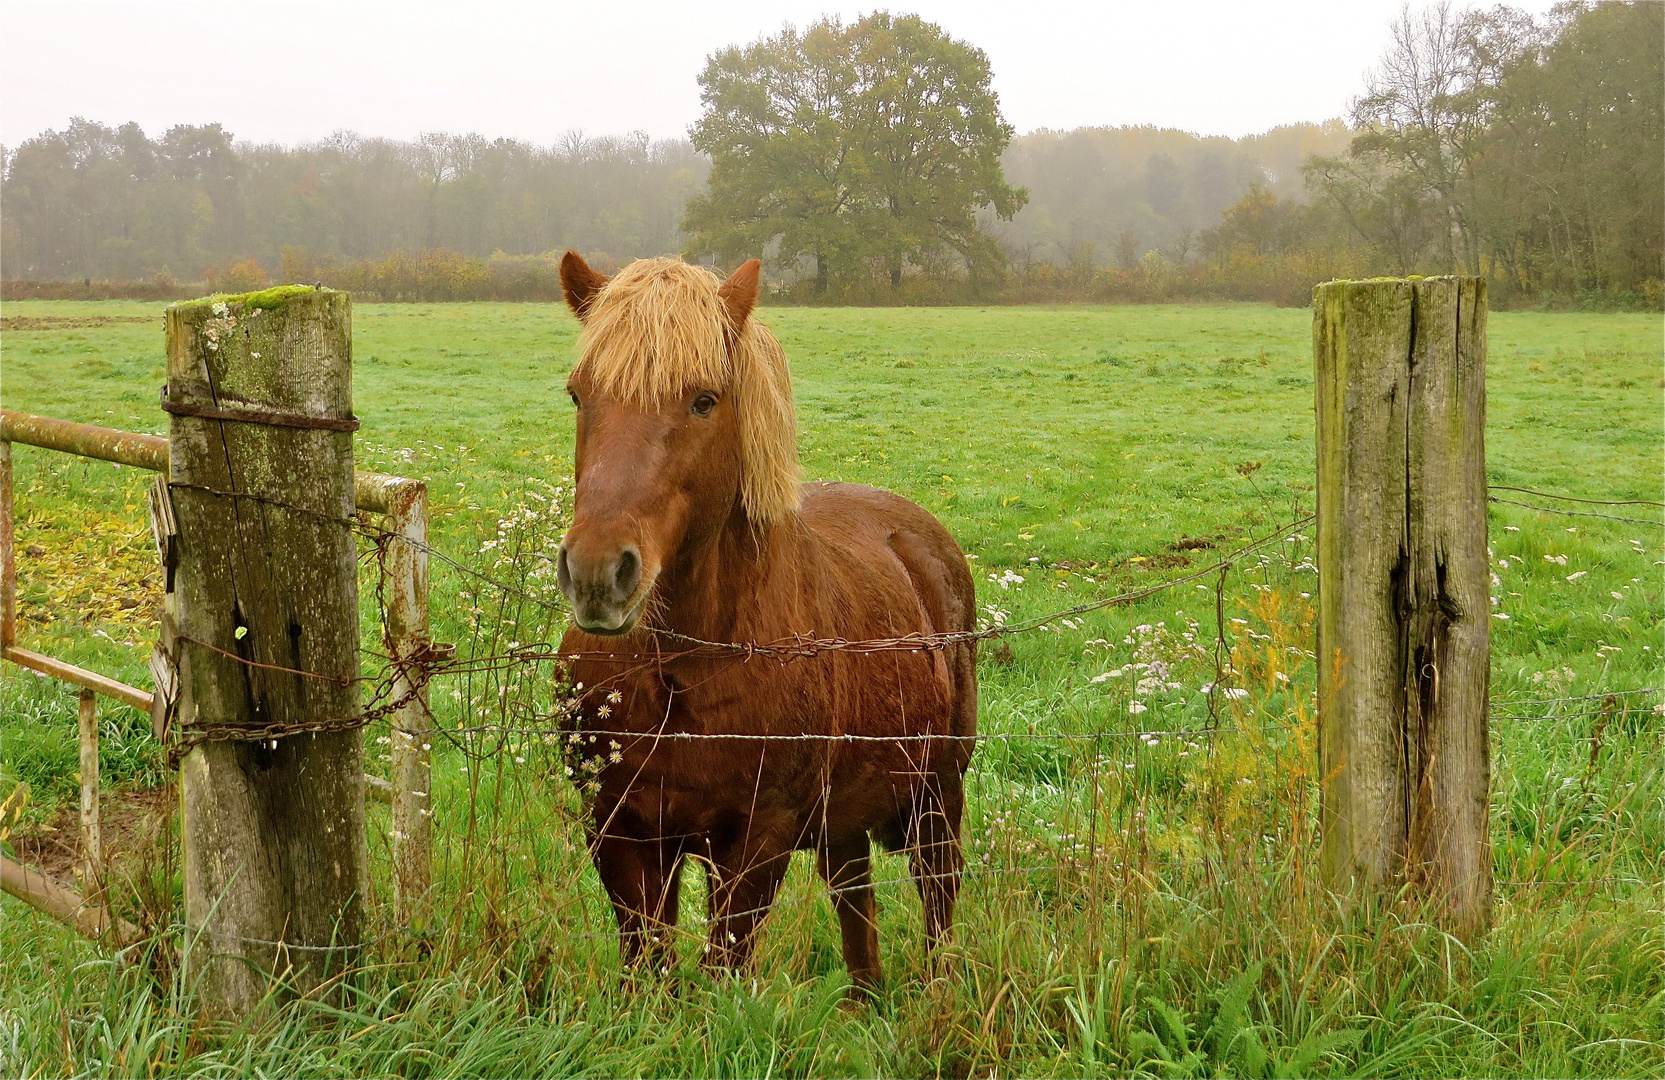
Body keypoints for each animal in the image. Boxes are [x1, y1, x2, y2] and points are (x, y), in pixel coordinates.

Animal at [559, 252, 972, 991]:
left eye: (703, 400)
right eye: (579, 395)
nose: (598, 574)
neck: (679, 667)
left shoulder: (756, 842)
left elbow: (723, 964)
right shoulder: (620, 832)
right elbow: (648, 972)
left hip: (938, 795)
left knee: (937, 893)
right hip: (846, 820)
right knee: (855, 900)